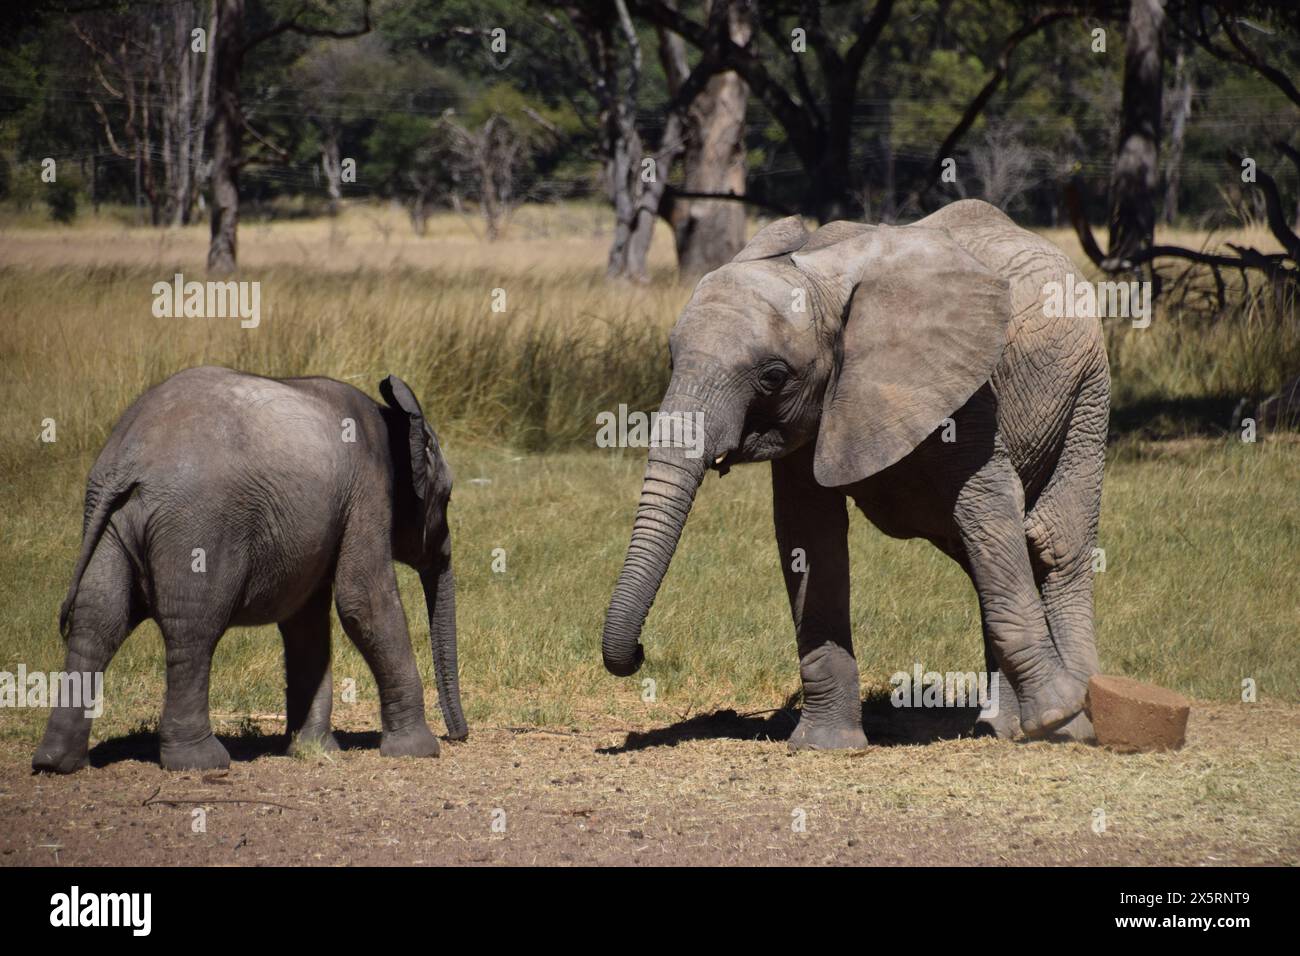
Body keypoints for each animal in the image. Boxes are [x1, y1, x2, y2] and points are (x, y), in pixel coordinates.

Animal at [30, 361, 470, 775]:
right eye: (447, 498)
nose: (459, 736)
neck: (393, 417)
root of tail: (125, 459)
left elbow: (306, 623)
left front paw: (313, 751)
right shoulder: (367, 490)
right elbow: (364, 603)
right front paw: (420, 751)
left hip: (107, 526)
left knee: (97, 620)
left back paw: (57, 762)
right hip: (196, 527)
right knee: (193, 628)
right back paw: (201, 762)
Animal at [598, 200, 1107, 749]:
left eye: (773, 376)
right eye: (671, 357)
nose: (642, 652)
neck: (819, 278)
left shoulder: (964, 390)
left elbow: (987, 508)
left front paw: (1057, 716)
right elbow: (808, 536)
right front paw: (824, 746)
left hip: (1086, 390)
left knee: (1049, 541)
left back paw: (1073, 722)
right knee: (980, 555)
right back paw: (1003, 728)